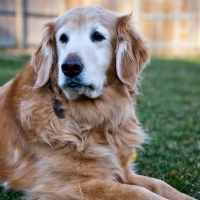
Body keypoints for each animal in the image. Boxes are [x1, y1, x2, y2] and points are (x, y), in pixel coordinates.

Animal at [0, 5, 195, 199]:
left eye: (98, 36)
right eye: (63, 38)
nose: (70, 67)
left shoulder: (123, 170)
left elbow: (159, 184)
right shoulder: (65, 184)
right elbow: (138, 192)